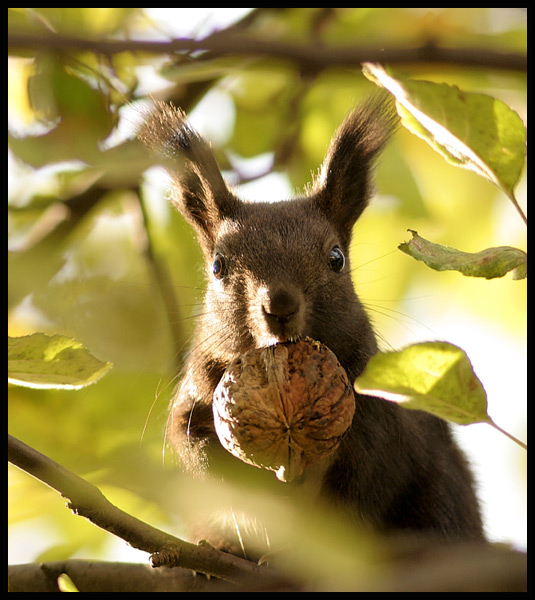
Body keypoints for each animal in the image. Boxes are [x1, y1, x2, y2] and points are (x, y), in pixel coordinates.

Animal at [139, 96, 486, 552]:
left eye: (336, 258)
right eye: (218, 266)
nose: (280, 306)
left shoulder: (381, 419)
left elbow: (364, 484)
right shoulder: (195, 403)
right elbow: (203, 459)